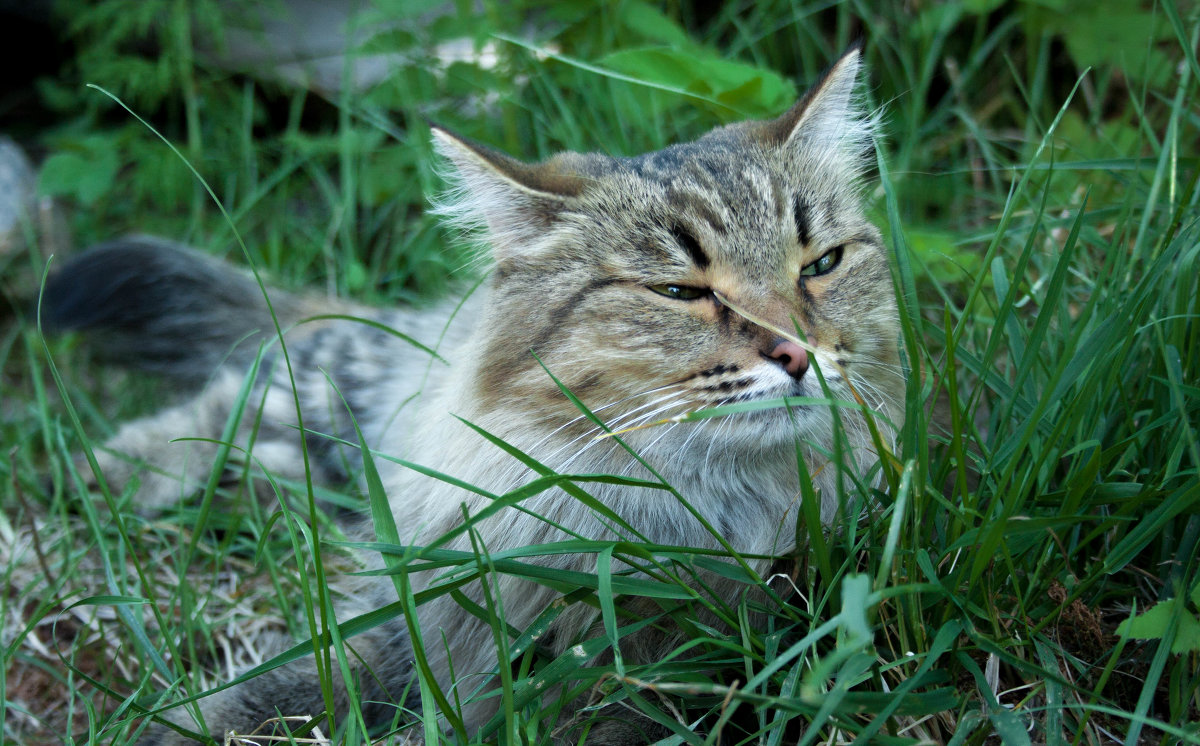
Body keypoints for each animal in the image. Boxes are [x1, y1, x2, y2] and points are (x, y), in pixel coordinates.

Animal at [44, 48, 902, 746]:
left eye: (820, 265)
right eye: (678, 291)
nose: (798, 352)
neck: (687, 511)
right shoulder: (426, 621)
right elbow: (287, 685)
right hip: (336, 388)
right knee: (233, 398)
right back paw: (107, 475)